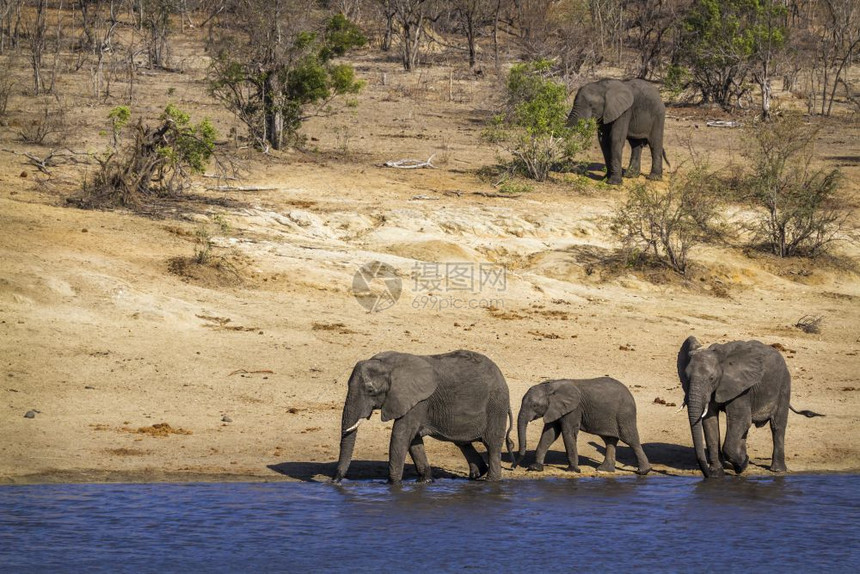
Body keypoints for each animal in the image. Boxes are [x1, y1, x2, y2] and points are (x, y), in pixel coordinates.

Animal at [332, 352, 512, 486]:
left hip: (496, 405)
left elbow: (400, 436)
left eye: (370, 390)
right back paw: (476, 475)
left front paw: (391, 484)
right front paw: (424, 481)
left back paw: (491, 481)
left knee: (492, 444)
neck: (389, 366)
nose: (335, 481)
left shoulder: (418, 401)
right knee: (463, 443)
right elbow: (414, 441)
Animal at [512, 378, 648, 476]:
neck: (550, 386)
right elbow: (549, 434)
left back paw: (642, 472)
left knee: (631, 440)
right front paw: (535, 467)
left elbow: (568, 432)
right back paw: (604, 470)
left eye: (535, 405)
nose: (513, 467)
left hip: (624, 414)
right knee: (609, 440)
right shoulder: (554, 409)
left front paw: (572, 470)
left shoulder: (573, 409)